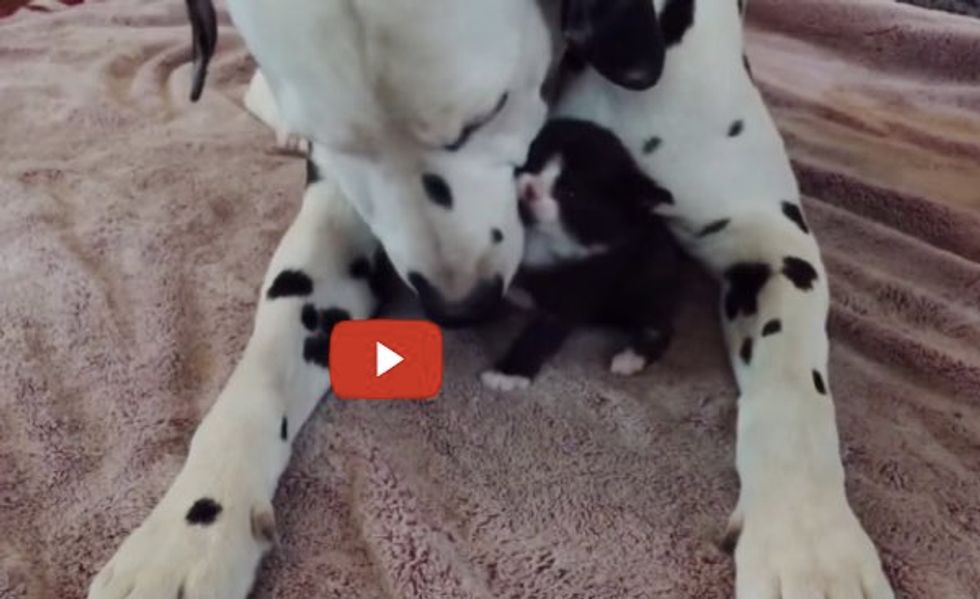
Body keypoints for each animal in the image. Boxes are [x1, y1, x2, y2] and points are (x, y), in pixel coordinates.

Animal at [482, 119, 680, 394]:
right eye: (531, 162)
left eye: (570, 193)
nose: (531, 190)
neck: (546, 239)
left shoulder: (589, 278)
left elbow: (545, 330)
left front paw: (509, 372)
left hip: (651, 278)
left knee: (658, 323)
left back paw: (632, 356)